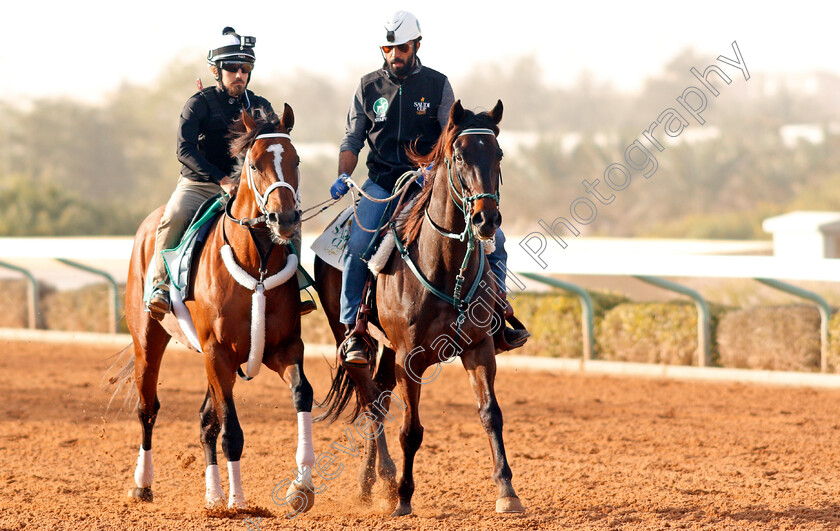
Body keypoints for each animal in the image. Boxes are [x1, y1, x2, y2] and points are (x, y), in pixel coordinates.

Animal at [124, 107, 318, 512]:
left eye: (296, 160)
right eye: (254, 164)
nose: (285, 219)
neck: (256, 266)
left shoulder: (284, 347)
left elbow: (302, 394)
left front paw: (302, 484)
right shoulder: (219, 353)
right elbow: (232, 431)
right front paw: (238, 500)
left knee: (204, 421)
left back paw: (212, 495)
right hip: (147, 340)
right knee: (148, 409)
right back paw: (142, 484)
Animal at [316, 98, 524, 516]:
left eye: (498, 153)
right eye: (459, 155)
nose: (486, 218)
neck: (443, 267)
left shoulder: (479, 348)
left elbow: (491, 414)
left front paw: (507, 491)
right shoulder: (409, 358)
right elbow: (410, 430)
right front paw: (403, 497)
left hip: (388, 352)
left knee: (378, 401)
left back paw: (369, 482)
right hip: (355, 340)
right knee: (370, 403)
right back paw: (385, 478)